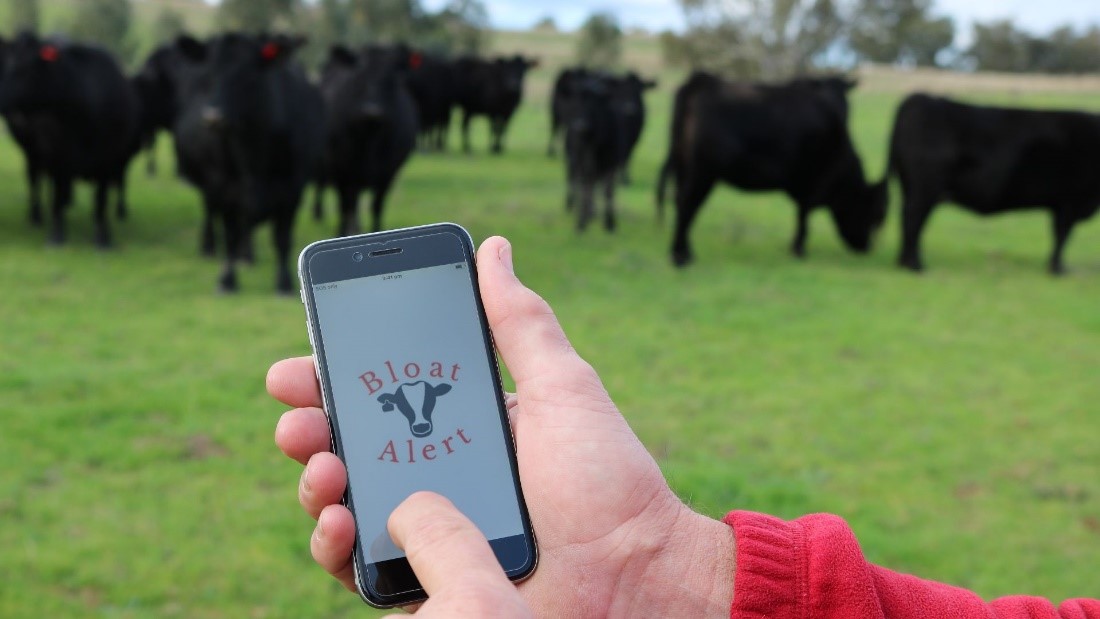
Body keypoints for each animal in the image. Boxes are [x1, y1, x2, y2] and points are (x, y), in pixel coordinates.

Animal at [0, 33, 143, 247]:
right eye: (6, 63)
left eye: (22, 67)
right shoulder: (58, 158)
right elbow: (57, 197)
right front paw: (57, 235)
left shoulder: (108, 160)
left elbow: (101, 199)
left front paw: (103, 237)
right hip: (32, 153)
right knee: (35, 180)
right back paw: (36, 215)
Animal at [319, 43, 420, 236]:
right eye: (359, 76)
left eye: (390, 78)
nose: (372, 110)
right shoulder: (341, 169)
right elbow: (345, 205)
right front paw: (341, 232)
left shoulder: (388, 172)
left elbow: (377, 205)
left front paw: (377, 229)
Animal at [660, 72, 884, 266]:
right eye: (872, 214)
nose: (866, 248)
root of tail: (702, 81)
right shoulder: (812, 184)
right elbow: (804, 217)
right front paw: (799, 249)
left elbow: (801, 214)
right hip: (702, 174)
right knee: (687, 206)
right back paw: (680, 257)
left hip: (684, 168)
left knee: (682, 204)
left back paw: (684, 252)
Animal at [884, 93, 1100, 274]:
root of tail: (919, 97)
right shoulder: (1070, 202)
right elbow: (1062, 236)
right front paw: (1057, 269)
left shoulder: (1063, 204)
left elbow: (1059, 236)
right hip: (924, 190)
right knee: (913, 220)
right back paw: (915, 265)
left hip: (914, 189)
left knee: (911, 221)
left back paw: (904, 262)